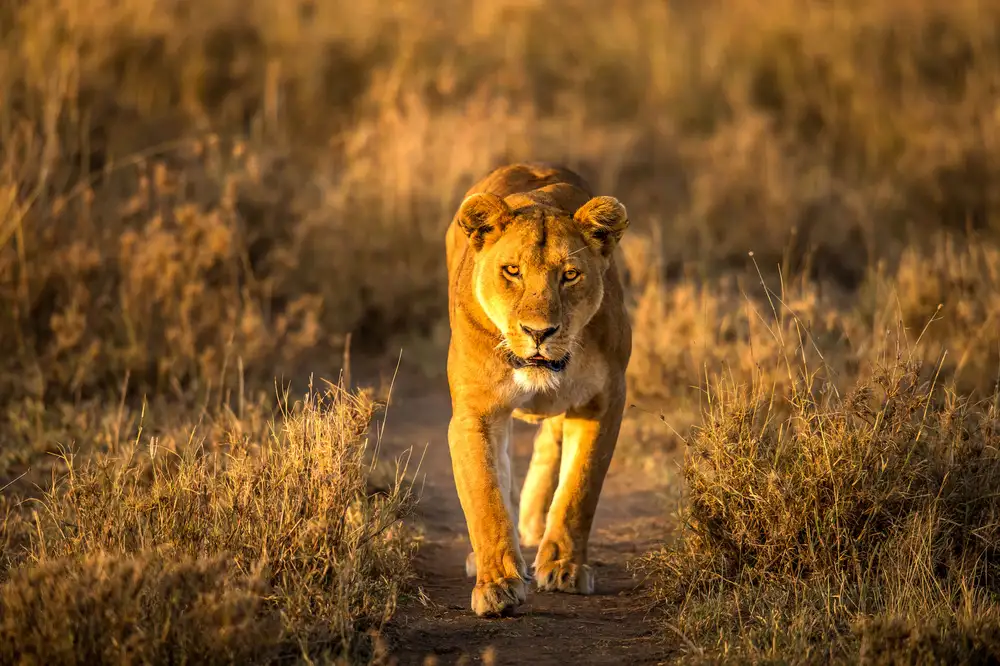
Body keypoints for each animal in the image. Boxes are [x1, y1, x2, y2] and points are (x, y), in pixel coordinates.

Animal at [445, 162, 631, 617]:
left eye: (570, 275)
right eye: (512, 271)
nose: (538, 332)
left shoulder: (603, 402)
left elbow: (579, 489)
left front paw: (564, 567)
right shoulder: (475, 412)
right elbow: (487, 498)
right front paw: (497, 584)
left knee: (551, 441)